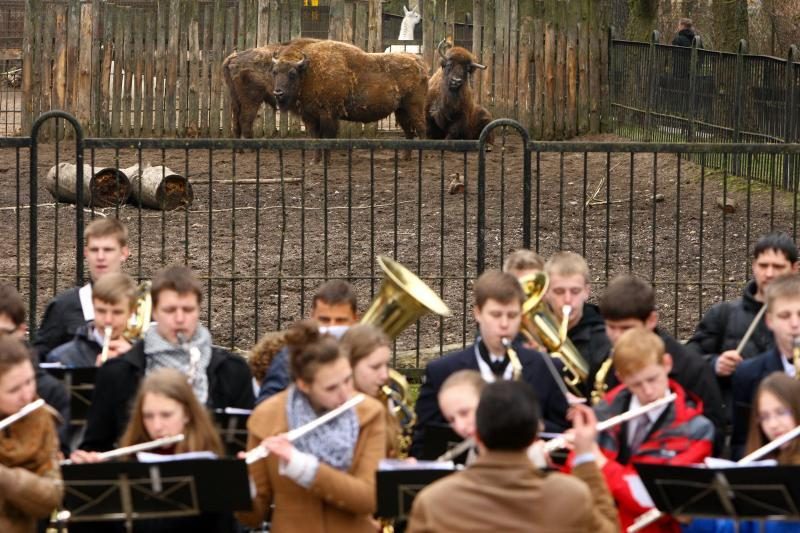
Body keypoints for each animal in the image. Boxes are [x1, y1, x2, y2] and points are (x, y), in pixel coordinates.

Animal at [270, 39, 432, 160]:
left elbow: (327, 138)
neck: (308, 71)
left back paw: (422, 155)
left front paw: (327, 162)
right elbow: (316, 139)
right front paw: (315, 161)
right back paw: (406, 157)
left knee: (421, 128)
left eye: (292, 73)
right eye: (275, 72)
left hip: (414, 107)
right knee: (409, 132)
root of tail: (419, 62)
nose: (278, 93)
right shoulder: (310, 117)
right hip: (401, 110)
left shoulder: (328, 115)